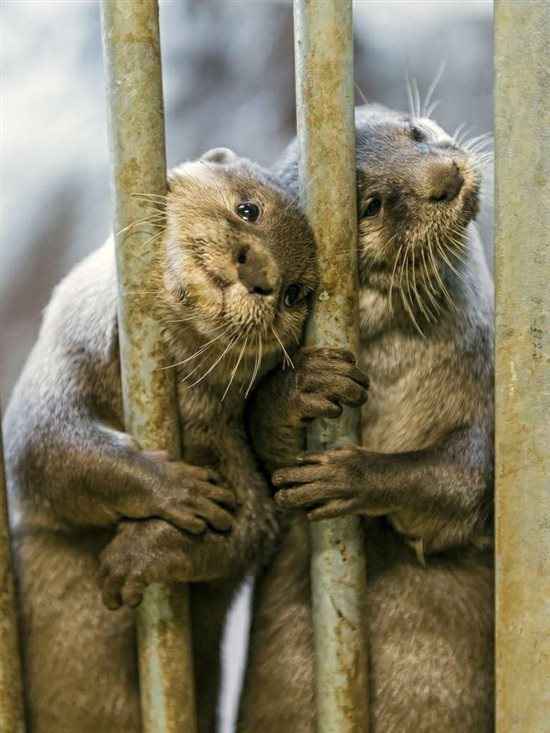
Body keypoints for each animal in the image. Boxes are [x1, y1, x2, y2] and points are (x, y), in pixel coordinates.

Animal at [3, 149, 318, 733]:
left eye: (294, 292)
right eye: (249, 209)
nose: (258, 271)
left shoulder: (231, 449)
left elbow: (249, 530)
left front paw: (138, 553)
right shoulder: (61, 367)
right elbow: (48, 450)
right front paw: (174, 489)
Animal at [238, 105, 494, 732]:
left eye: (416, 134)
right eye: (372, 205)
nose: (445, 177)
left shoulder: (482, 405)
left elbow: (460, 483)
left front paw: (349, 476)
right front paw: (302, 388)